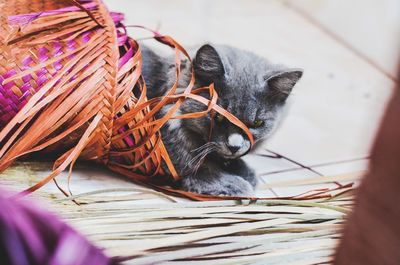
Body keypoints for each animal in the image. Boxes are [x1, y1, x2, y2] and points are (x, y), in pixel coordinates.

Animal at [142, 43, 302, 196]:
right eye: (217, 116)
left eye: (257, 123)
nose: (234, 147)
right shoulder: (164, 132)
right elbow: (189, 161)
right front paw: (230, 184)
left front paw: (243, 170)